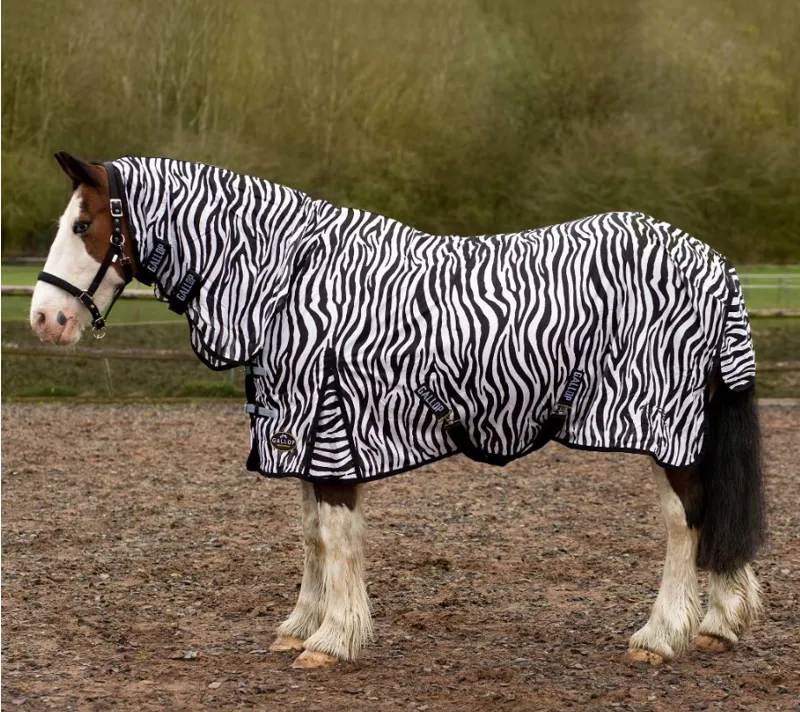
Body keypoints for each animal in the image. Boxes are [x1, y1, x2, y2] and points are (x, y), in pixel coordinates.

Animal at [30, 152, 766, 669]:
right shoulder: (303, 433)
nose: (45, 319)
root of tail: (712, 263)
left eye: (83, 225)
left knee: (685, 521)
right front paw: (303, 625)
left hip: (663, 426)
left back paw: (660, 635)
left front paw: (332, 639)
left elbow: (336, 536)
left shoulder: (332, 429)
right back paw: (718, 625)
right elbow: (311, 534)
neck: (289, 280)